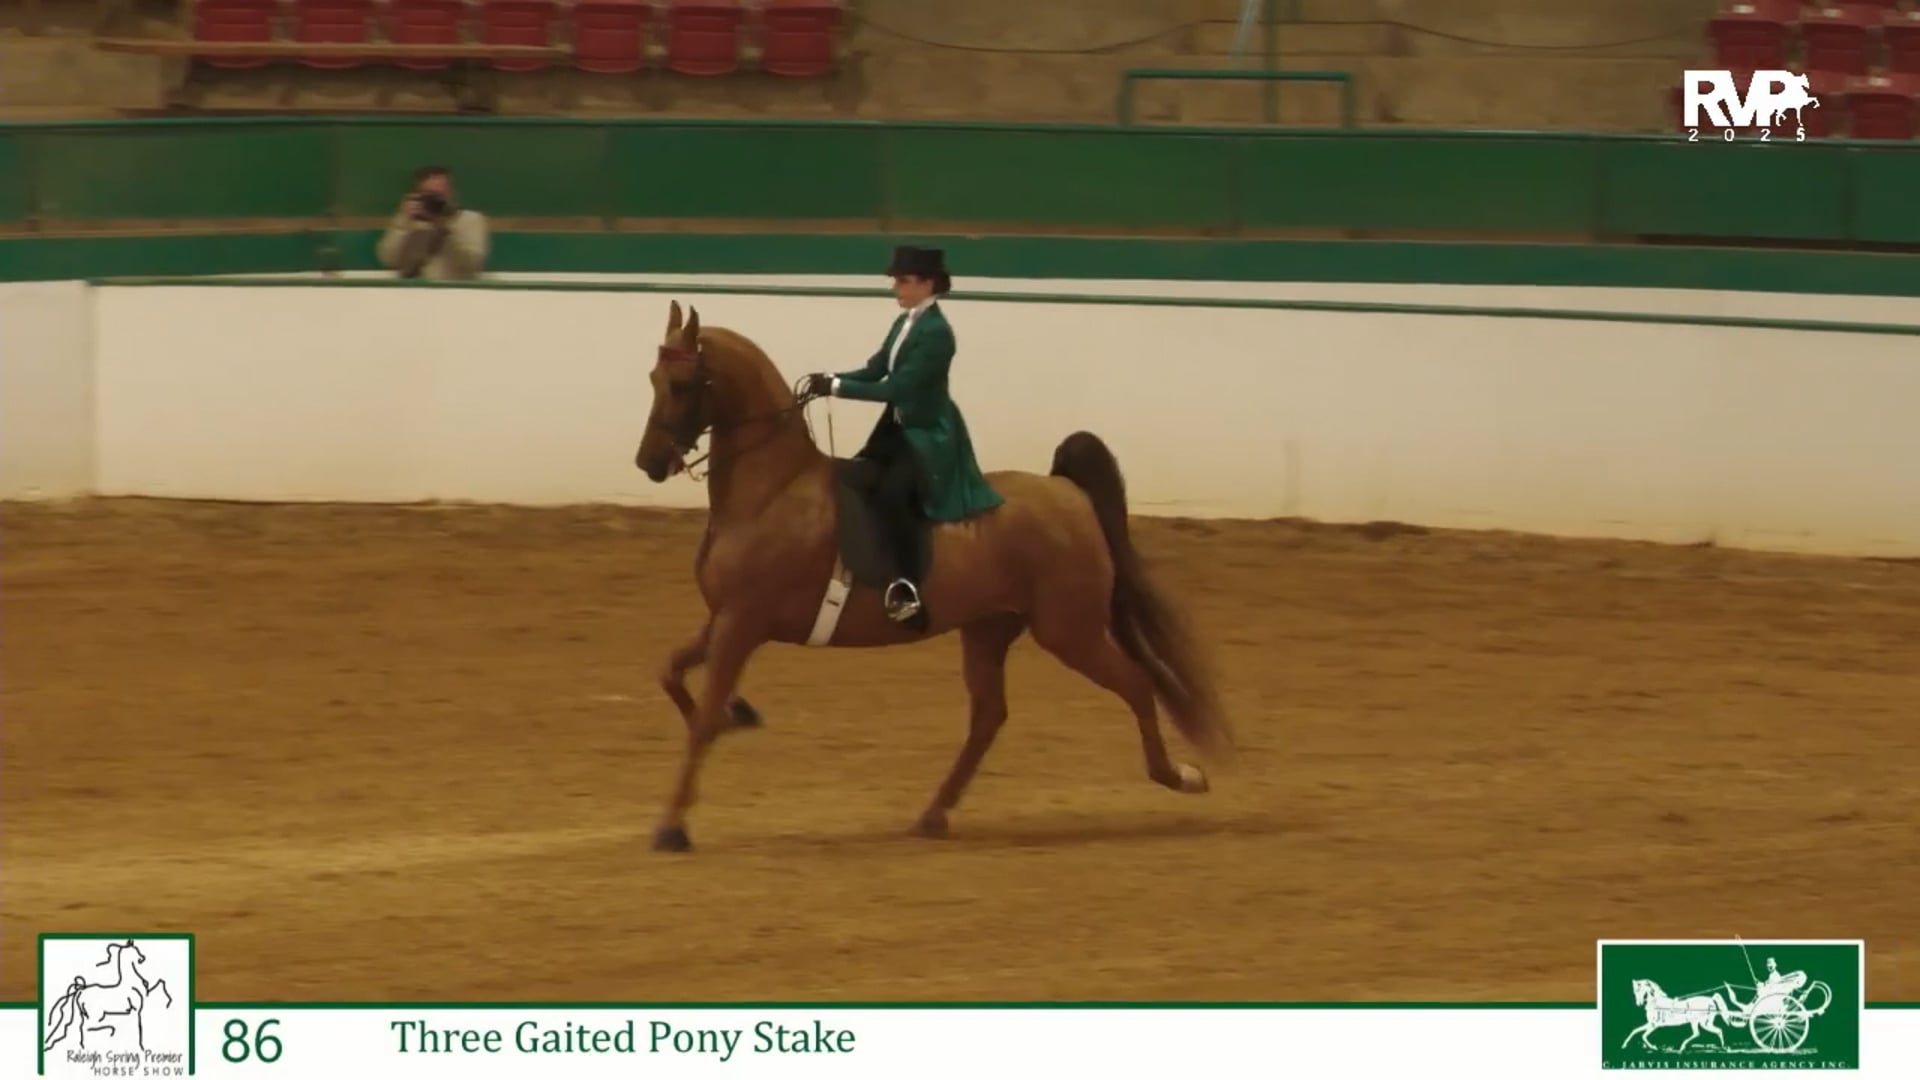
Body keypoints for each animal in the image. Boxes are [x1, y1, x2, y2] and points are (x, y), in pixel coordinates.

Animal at [41, 940, 174, 1054]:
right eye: (135, 950)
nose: (142, 958)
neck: (131, 983)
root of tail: (81, 989)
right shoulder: (137, 1010)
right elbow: (139, 1028)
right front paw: (141, 1047)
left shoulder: (146, 996)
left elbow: (160, 982)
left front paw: (168, 1001)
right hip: (96, 1015)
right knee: (87, 1027)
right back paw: (110, 1030)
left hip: (85, 1015)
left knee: (81, 1027)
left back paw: (84, 1044)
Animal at [630, 300, 1234, 852]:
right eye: (654, 379)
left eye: (682, 383)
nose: (649, 464)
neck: (772, 491)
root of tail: (1066, 491)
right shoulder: (722, 619)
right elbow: (669, 673)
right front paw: (738, 714)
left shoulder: (742, 623)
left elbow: (700, 717)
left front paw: (672, 826)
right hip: (991, 628)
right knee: (989, 716)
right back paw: (933, 815)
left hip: (1070, 631)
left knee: (1136, 683)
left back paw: (1181, 776)